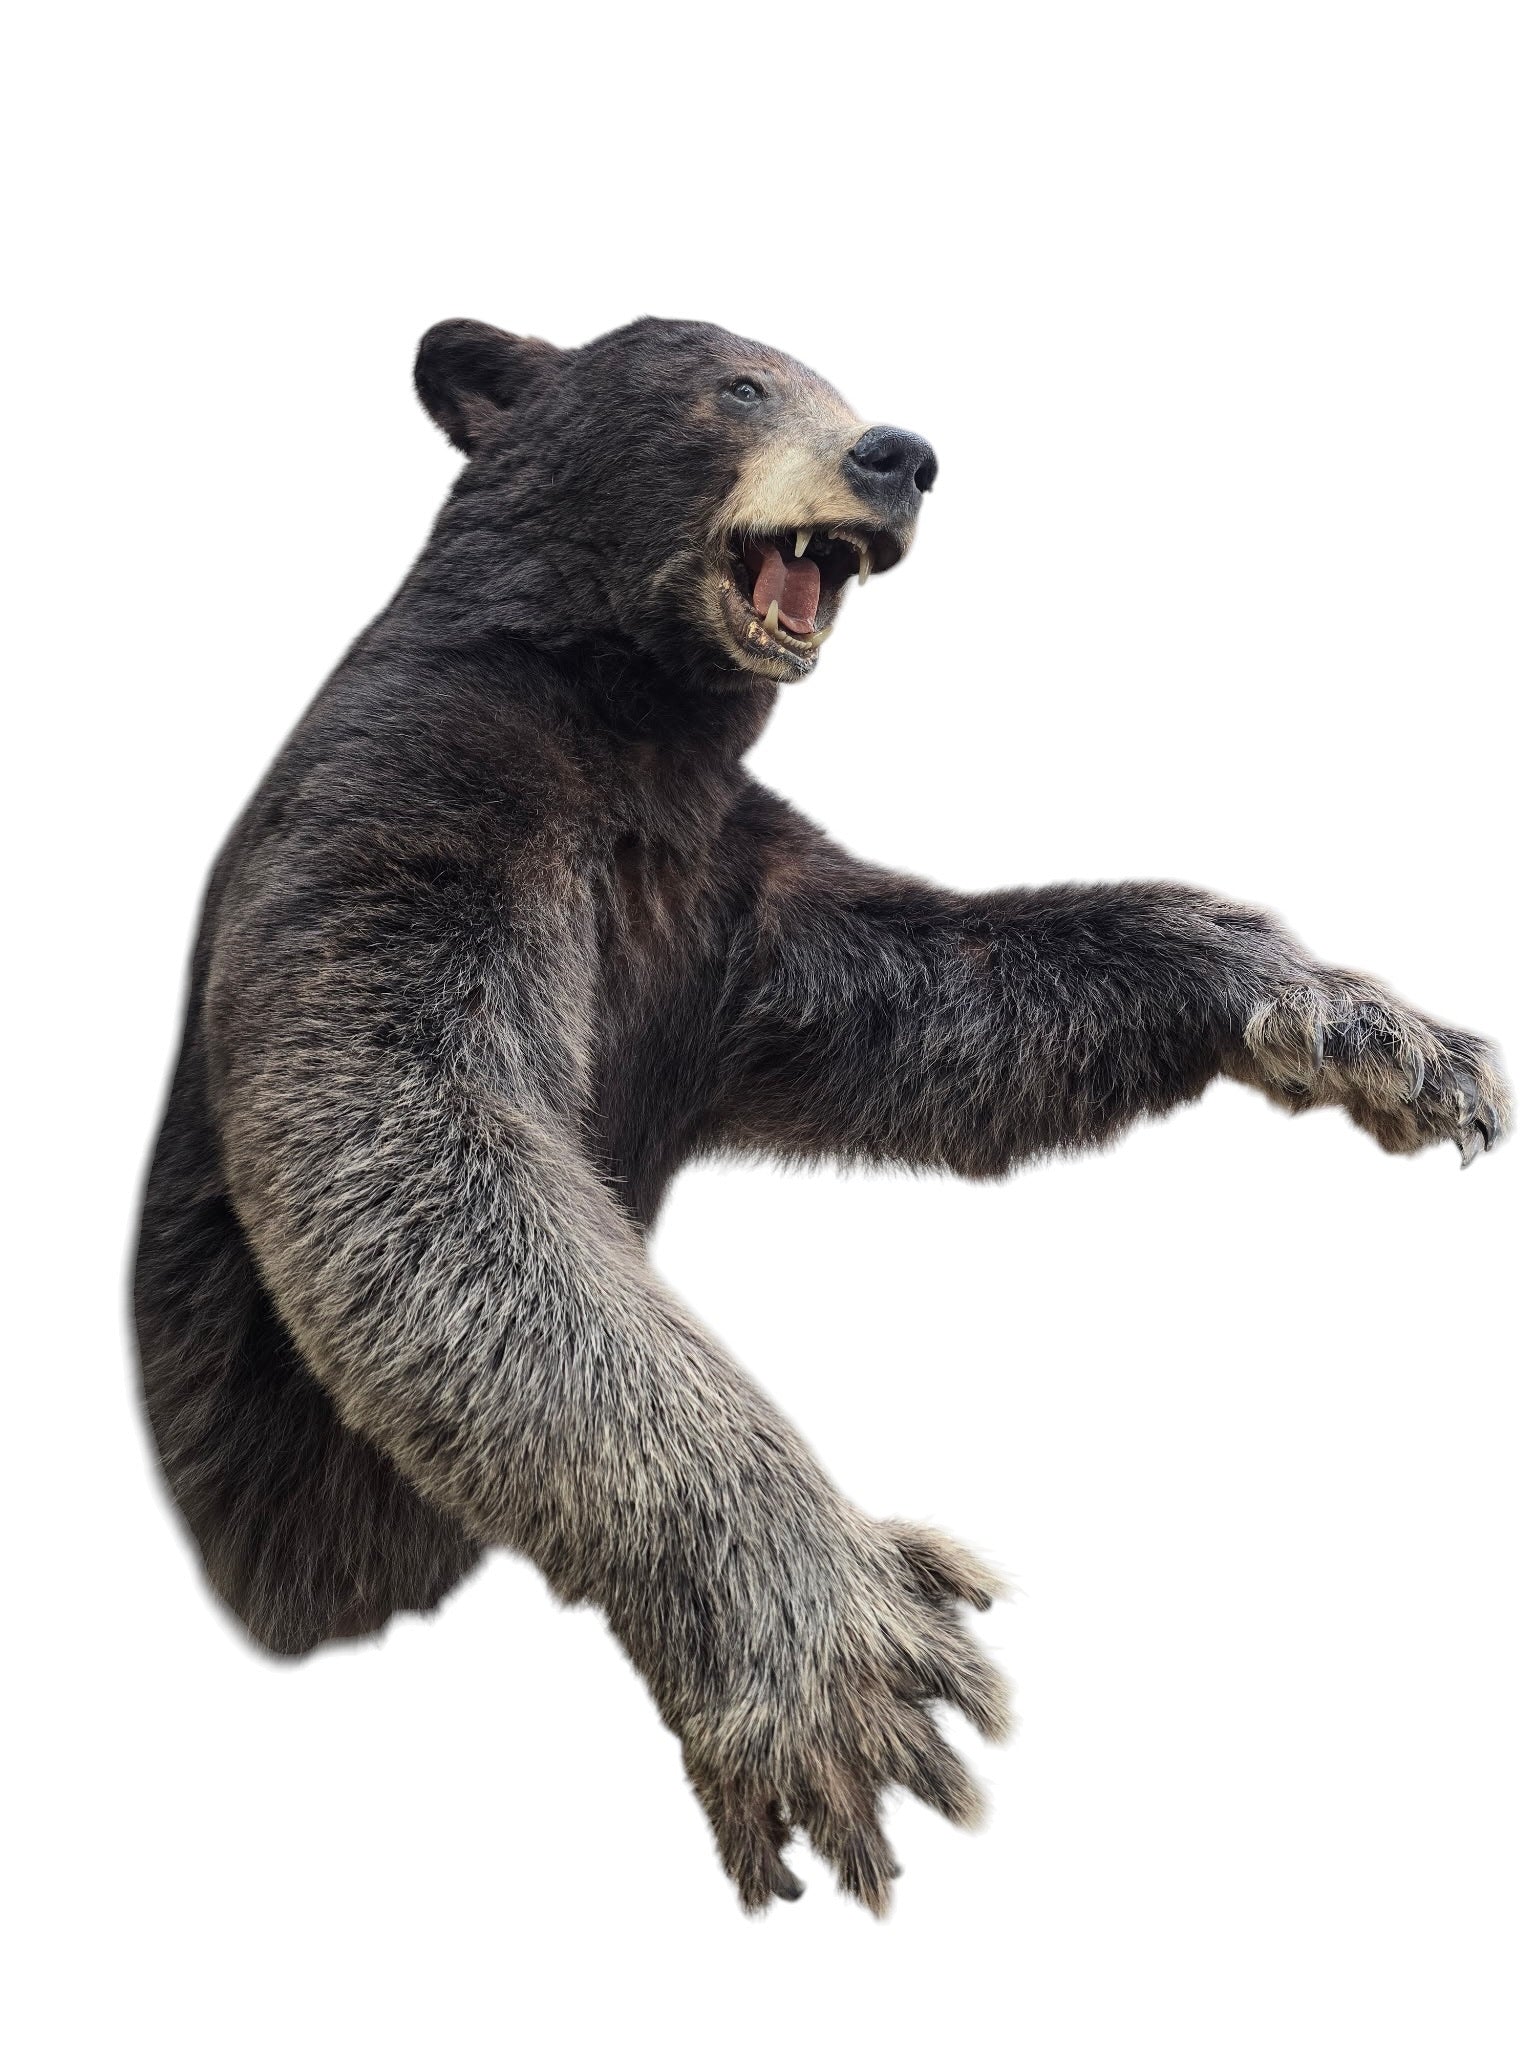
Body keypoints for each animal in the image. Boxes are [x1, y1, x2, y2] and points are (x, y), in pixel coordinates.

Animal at [134, 315, 1510, 1914]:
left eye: (835, 382)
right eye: (738, 382)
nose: (898, 454)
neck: (633, 711)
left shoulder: (736, 902)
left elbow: (948, 1004)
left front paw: (1377, 1032)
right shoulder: (424, 791)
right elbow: (411, 1139)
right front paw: (843, 1651)